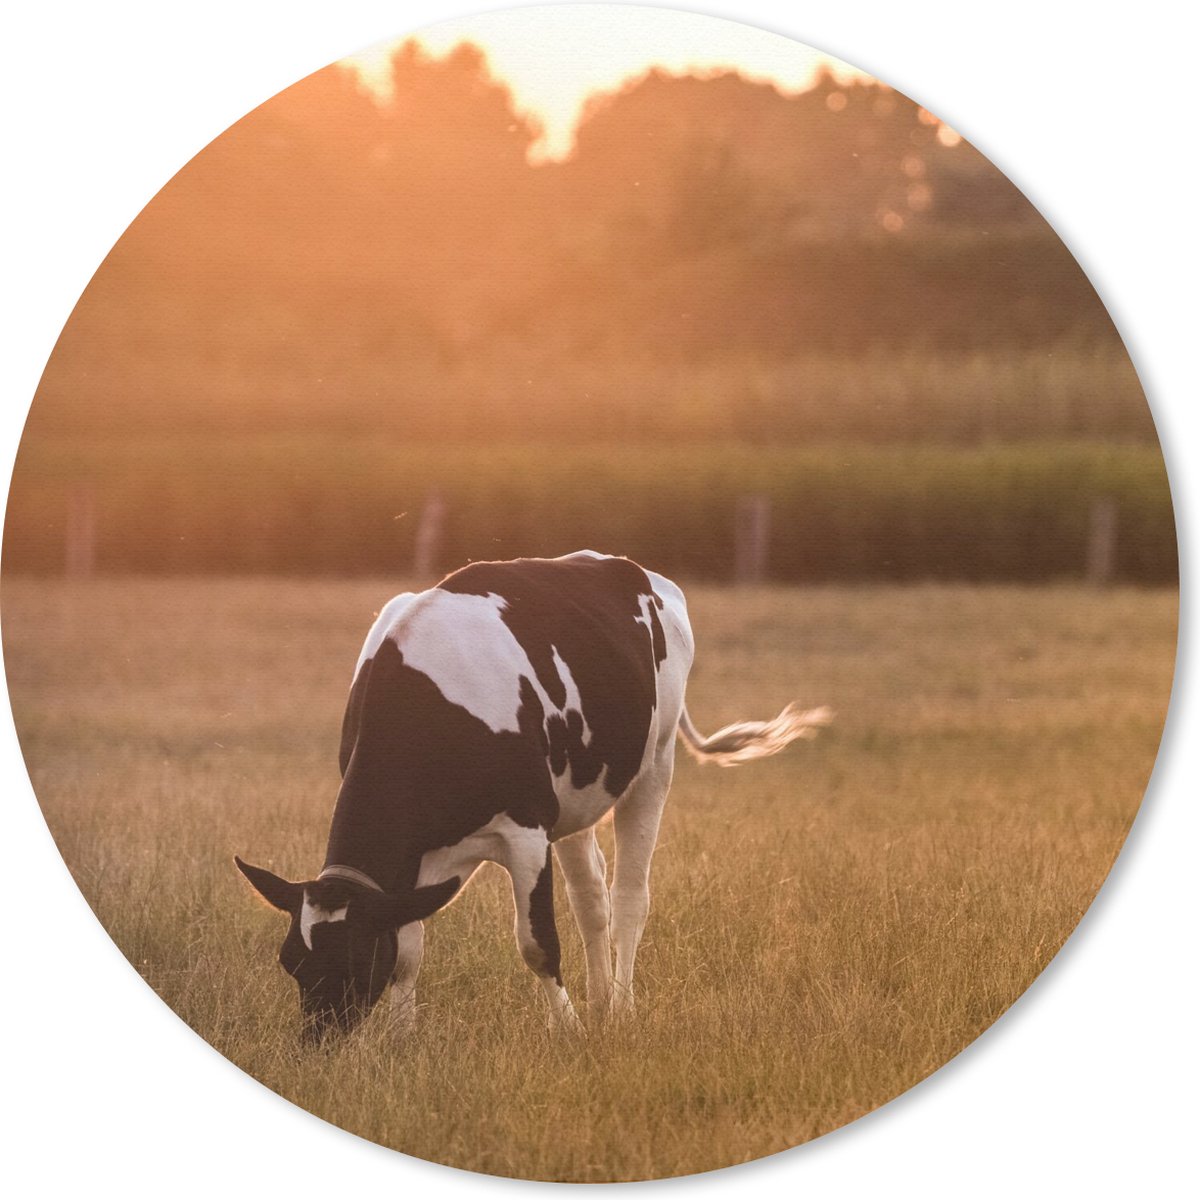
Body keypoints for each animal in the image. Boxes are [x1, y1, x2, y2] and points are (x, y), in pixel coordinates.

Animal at [236, 550, 829, 1044]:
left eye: (355, 961)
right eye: (290, 961)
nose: (318, 1043)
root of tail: (635, 569)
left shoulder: (525, 830)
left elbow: (537, 943)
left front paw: (566, 1030)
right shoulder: (415, 862)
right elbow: (407, 947)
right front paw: (402, 1040)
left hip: (653, 768)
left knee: (629, 897)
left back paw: (622, 1009)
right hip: (576, 800)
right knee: (591, 899)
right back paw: (601, 1004)